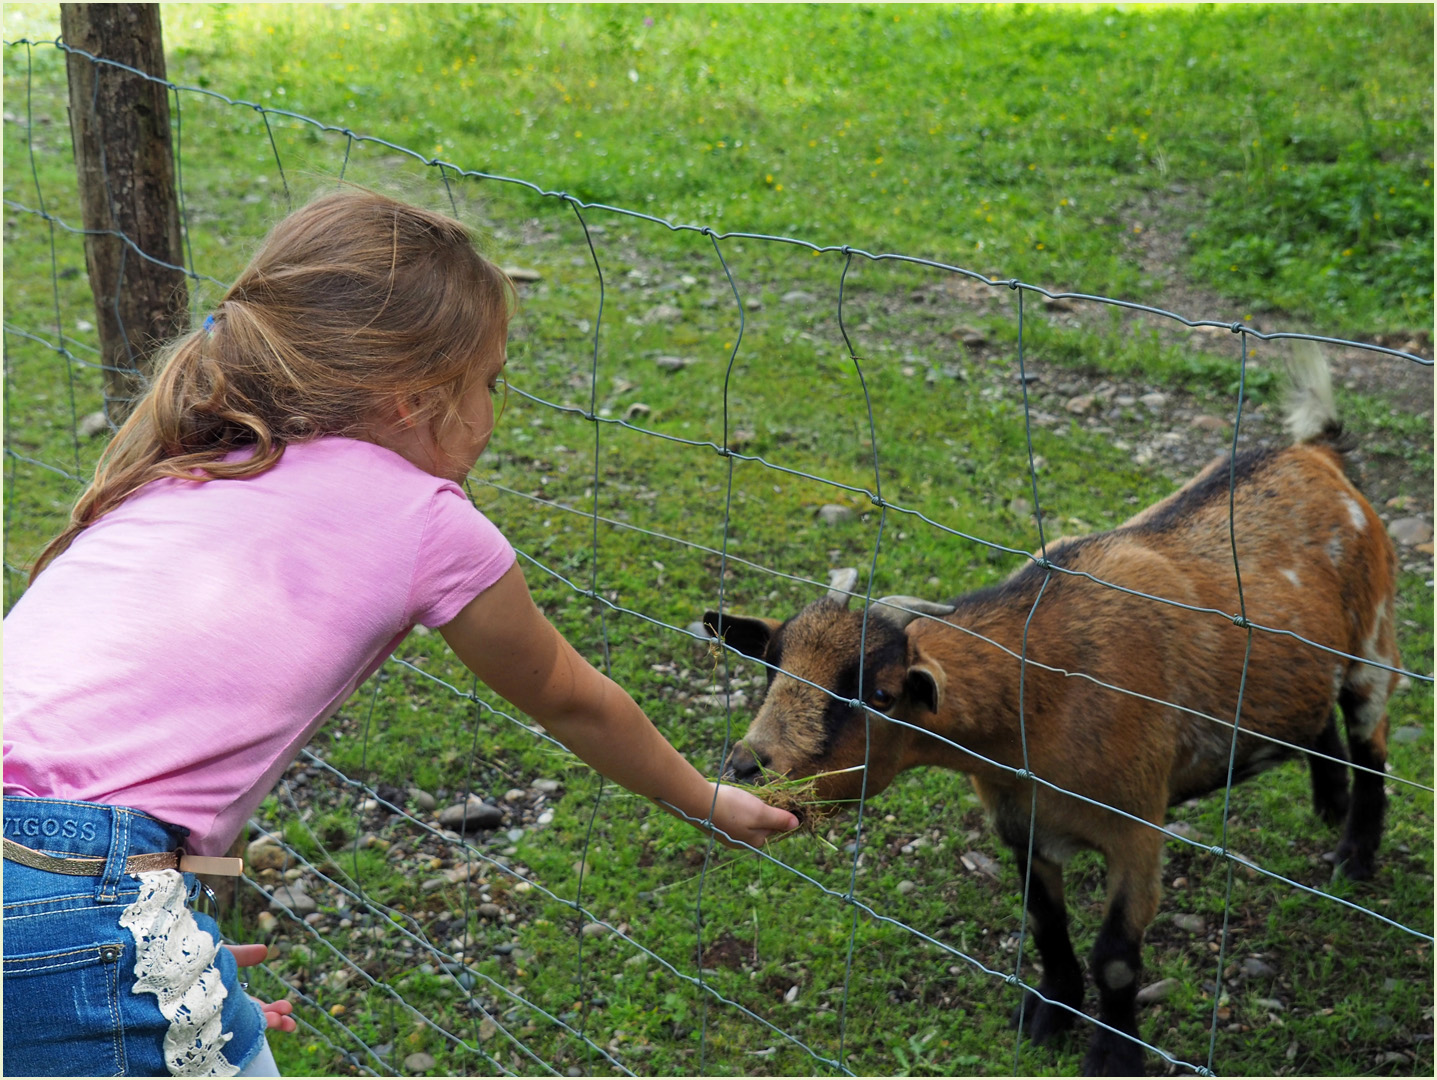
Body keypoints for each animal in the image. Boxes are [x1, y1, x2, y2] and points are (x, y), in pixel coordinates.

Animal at [707, 350, 1402, 1074]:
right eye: (771, 667)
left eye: (879, 695)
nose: (747, 768)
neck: (1039, 699)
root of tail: (1314, 454)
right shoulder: (1021, 824)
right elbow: (1045, 925)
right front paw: (1047, 1019)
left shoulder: (1136, 830)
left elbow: (1116, 959)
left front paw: (1113, 1055)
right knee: (1317, 722)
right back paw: (1327, 805)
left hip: (1374, 643)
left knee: (1370, 743)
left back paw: (1353, 855)